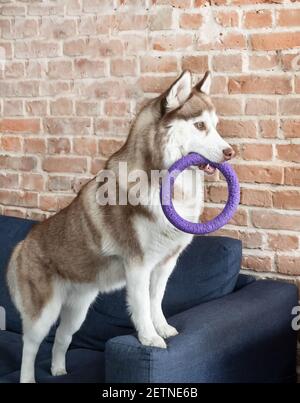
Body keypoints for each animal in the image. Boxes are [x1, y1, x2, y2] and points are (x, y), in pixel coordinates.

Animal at [5, 71, 234, 384]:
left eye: (216, 126)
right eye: (200, 126)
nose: (230, 152)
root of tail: (21, 245)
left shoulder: (165, 264)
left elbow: (156, 299)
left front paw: (163, 329)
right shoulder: (137, 265)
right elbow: (141, 305)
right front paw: (150, 339)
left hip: (78, 308)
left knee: (62, 337)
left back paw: (59, 370)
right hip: (44, 312)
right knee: (30, 345)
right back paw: (28, 377)